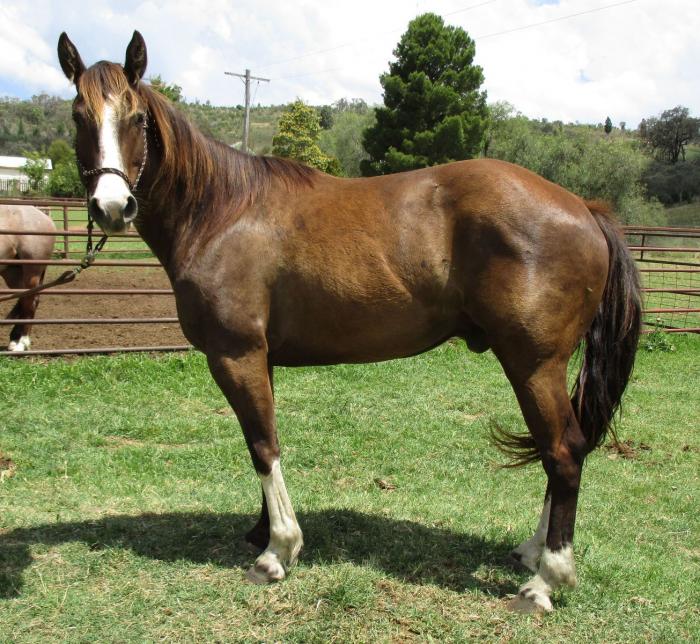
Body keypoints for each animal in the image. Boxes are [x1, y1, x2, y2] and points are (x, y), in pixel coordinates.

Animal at [0, 205, 56, 351]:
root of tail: (45, 217)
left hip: (32, 271)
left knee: (29, 302)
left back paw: (22, 342)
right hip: (13, 272)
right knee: (24, 298)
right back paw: (14, 339)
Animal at [57, 31, 641, 613]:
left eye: (136, 118)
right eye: (78, 115)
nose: (112, 206)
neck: (221, 213)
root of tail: (585, 210)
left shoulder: (234, 354)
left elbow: (262, 445)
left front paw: (278, 551)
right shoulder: (259, 358)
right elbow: (261, 441)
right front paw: (261, 530)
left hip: (533, 363)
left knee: (563, 452)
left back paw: (548, 580)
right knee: (559, 450)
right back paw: (532, 551)